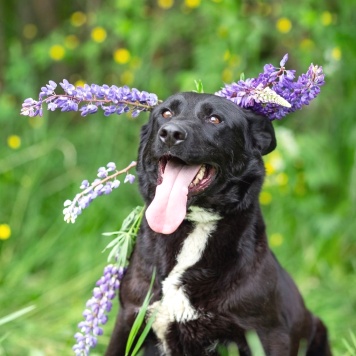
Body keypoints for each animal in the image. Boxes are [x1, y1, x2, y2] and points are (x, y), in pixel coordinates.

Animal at [105, 92, 330, 356]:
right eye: (166, 113)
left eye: (215, 119)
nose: (170, 133)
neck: (194, 225)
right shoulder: (129, 318)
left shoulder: (269, 335)